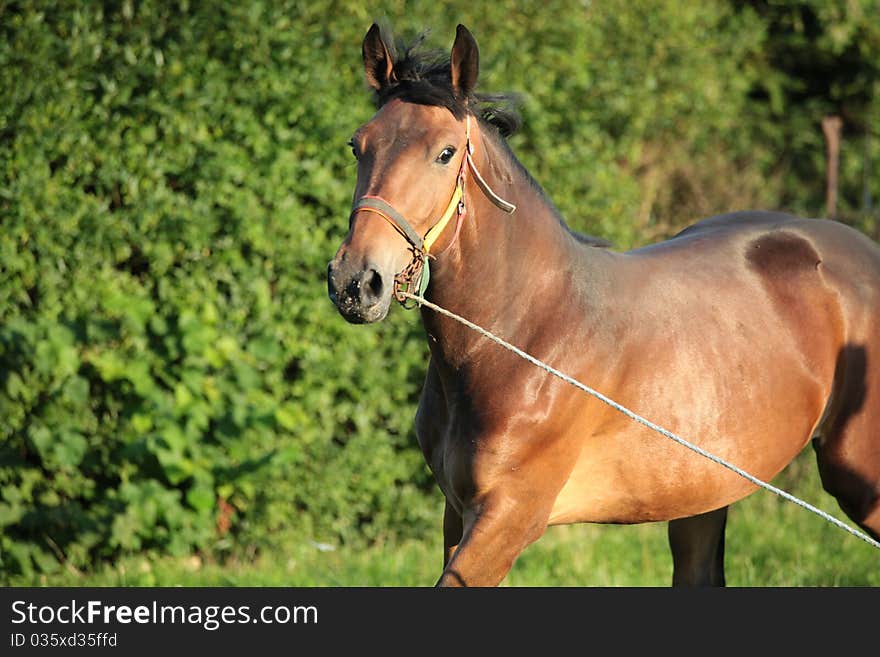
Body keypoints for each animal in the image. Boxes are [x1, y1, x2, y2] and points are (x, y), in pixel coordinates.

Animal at [326, 24, 880, 584]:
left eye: (443, 153)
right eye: (358, 145)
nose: (356, 281)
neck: (521, 336)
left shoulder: (506, 518)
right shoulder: (456, 512)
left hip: (860, 477)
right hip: (702, 494)